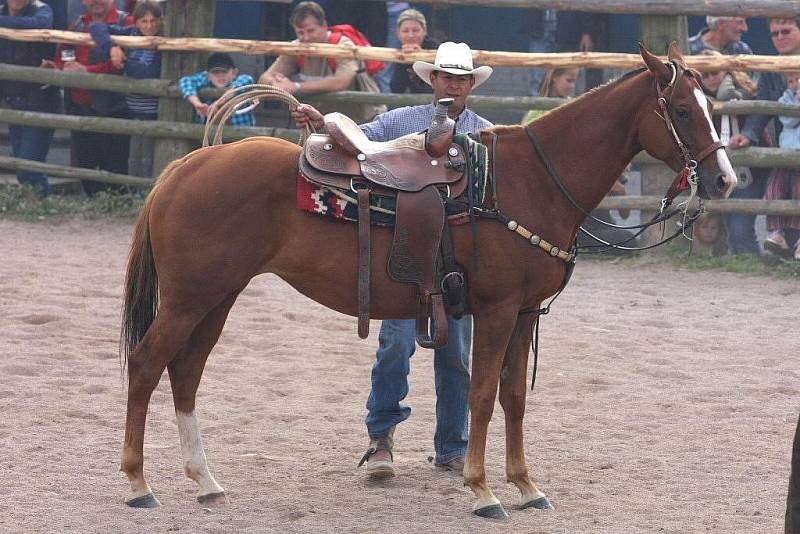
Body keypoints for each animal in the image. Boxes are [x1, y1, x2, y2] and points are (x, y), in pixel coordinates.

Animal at [119, 45, 736, 520]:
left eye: (713, 107)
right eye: (683, 108)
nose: (725, 180)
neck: (530, 182)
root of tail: (187, 166)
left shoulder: (525, 314)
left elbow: (514, 397)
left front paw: (526, 486)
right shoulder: (497, 311)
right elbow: (483, 395)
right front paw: (483, 491)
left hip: (217, 298)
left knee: (186, 372)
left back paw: (205, 482)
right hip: (188, 299)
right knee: (148, 365)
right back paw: (139, 484)